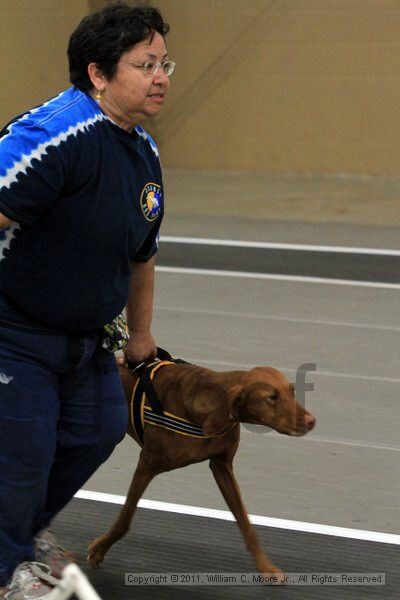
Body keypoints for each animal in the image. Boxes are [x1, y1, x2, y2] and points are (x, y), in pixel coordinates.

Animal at [87, 358, 316, 584]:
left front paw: (266, 567)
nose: (311, 421)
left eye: (292, 391)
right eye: (271, 397)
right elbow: (125, 519)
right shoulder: (147, 464)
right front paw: (100, 549)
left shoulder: (222, 467)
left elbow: (246, 524)